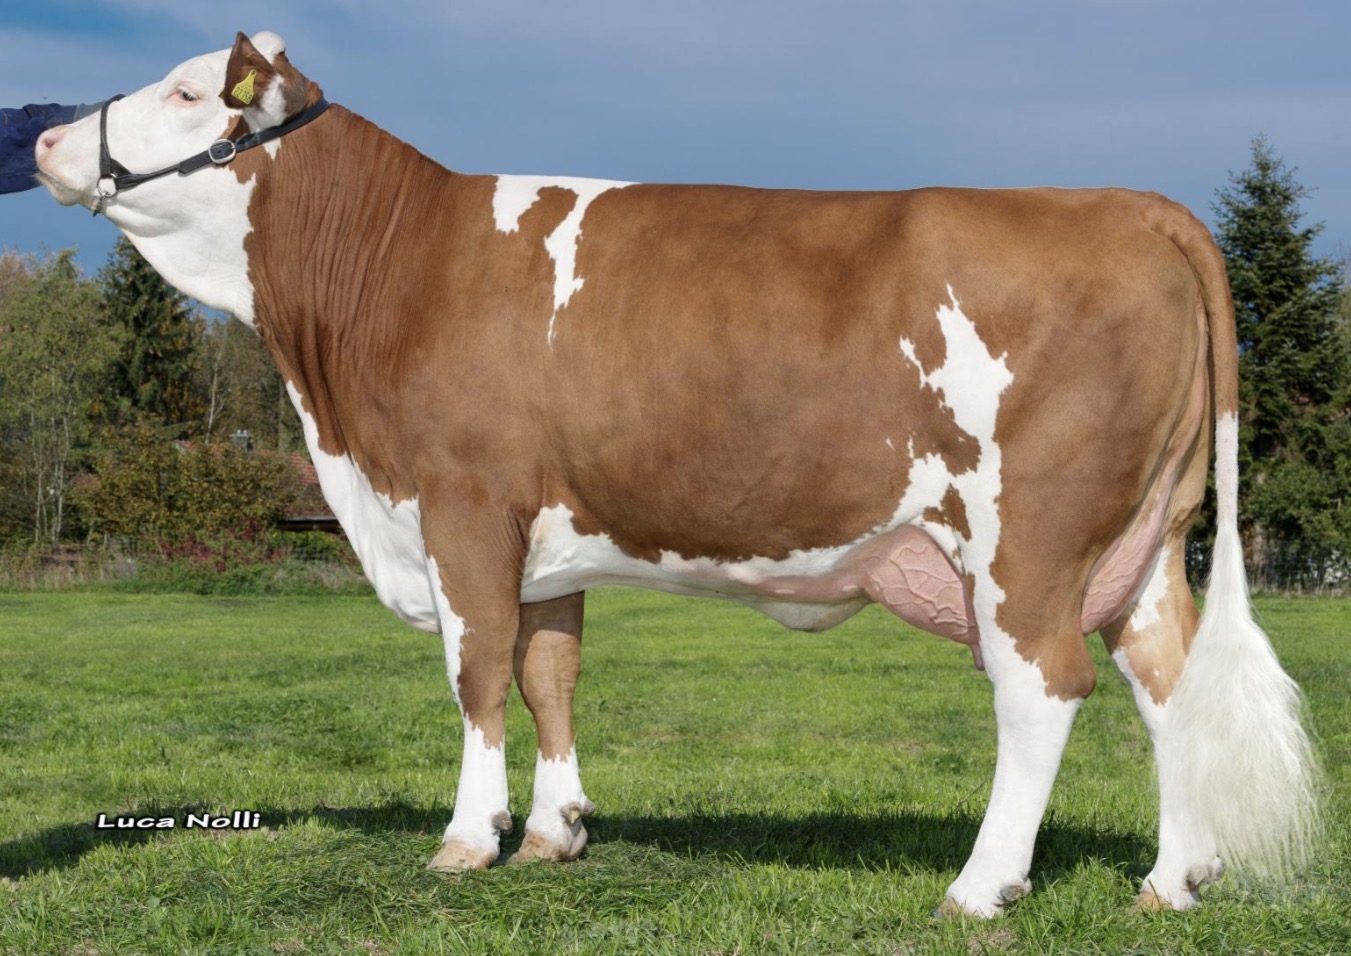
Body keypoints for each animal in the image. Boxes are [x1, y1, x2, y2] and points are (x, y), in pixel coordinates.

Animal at [34, 32, 1318, 917]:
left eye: (189, 92)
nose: (43, 138)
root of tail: (1130, 204)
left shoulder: (462, 502)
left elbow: (477, 674)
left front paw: (467, 836)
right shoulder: (544, 529)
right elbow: (549, 671)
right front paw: (553, 830)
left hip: (1030, 540)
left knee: (1043, 687)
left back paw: (980, 884)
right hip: (1140, 538)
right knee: (1165, 680)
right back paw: (1172, 876)